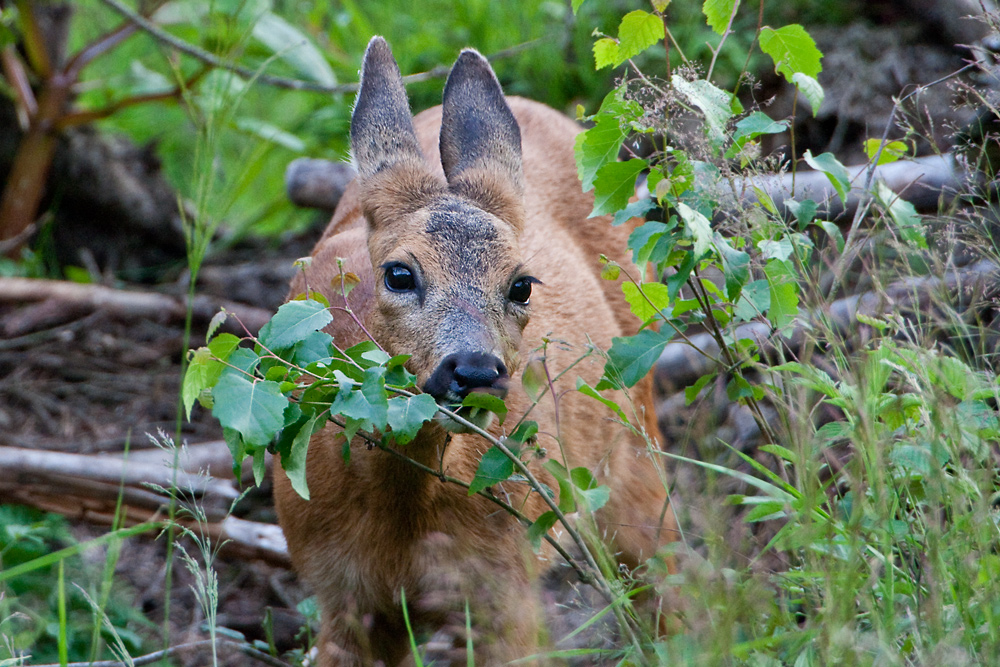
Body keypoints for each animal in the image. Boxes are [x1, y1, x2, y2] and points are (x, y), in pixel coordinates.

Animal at [274, 37, 680, 667]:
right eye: (398, 273)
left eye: (521, 285)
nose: (473, 370)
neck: (402, 515)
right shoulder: (338, 591)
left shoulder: (505, 583)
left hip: (634, 438)